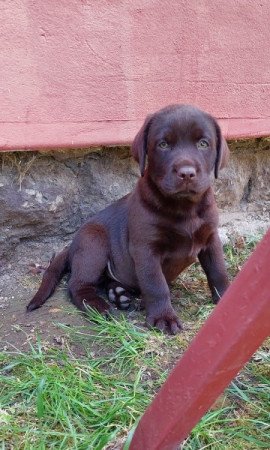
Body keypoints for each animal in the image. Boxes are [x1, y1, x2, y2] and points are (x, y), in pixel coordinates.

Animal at [26, 104, 230, 334]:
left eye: (203, 143)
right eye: (163, 144)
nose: (186, 173)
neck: (185, 207)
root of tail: (70, 247)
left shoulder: (211, 239)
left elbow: (218, 271)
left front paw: (226, 298)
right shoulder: (146, 249)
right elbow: (156, 285)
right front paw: (164, 317)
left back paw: (118, 294)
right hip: (93, 244)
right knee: (77, 285)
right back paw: (100, 307)